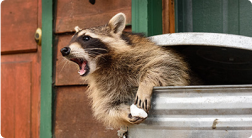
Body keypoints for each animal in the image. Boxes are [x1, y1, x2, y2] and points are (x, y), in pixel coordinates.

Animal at [60, 12, 193, 128]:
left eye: (86, 38)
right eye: (71, 39)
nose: (64, 50)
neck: (104, 64)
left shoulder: (145, 52)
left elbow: (167, 65)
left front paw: (146, 84)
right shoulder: (103, 86)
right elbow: (108, 107)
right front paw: (125, 113)